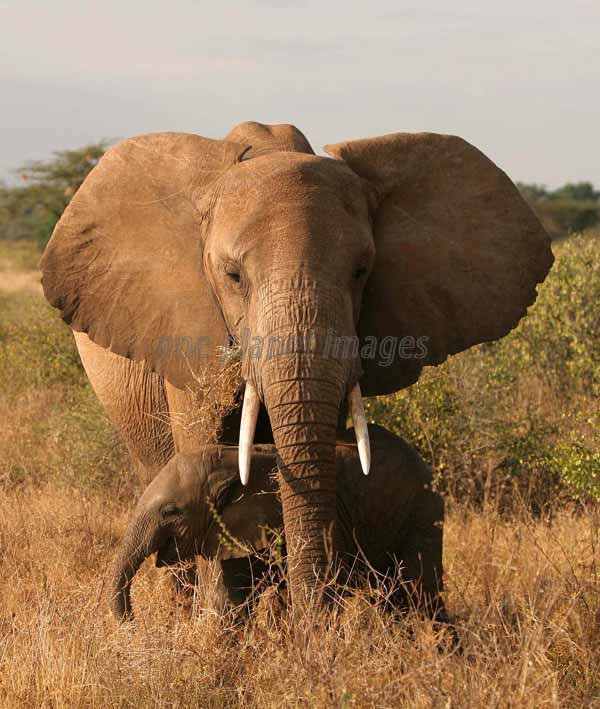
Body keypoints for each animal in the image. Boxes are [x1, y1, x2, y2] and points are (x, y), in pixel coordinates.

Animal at [110, 426, 446, 620]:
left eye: (171, 511)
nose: (134, 621)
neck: (231, 461)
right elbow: (233, 601)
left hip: (421, 512)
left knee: (420, 595)